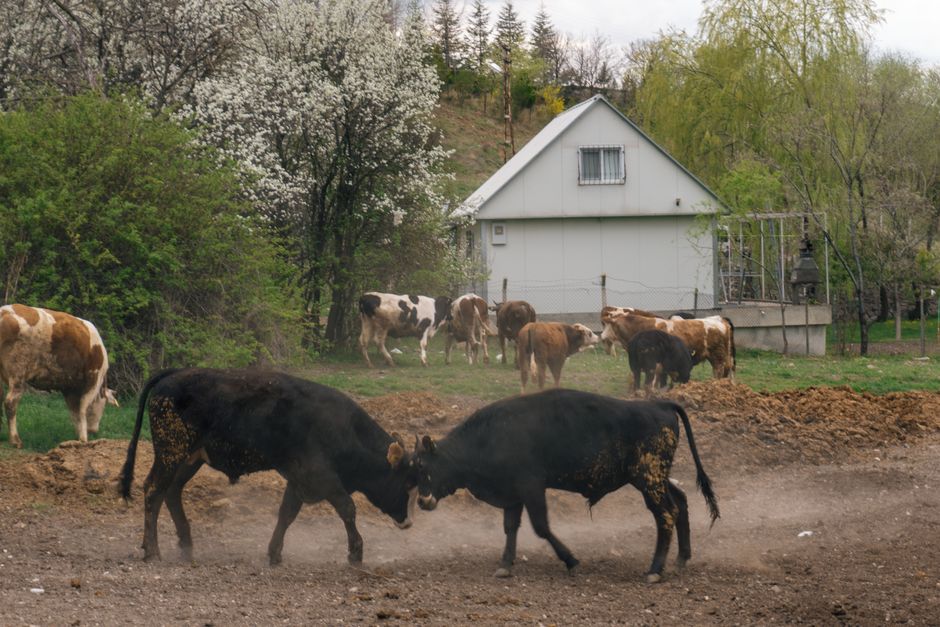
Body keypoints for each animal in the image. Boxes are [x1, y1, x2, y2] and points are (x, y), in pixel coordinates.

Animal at [0, 304, 118, 448]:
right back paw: (15, 440)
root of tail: (5, 311)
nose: (94, 430)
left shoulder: (70, 388)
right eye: (104, 404)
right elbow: (83, 409)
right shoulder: (92, 380)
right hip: (18, 372)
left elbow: (75, 413)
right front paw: (84, 440)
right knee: (10, 402)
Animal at [119, 368, 417, 565]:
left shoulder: (298, 480)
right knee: (153, 491)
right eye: (406, 482)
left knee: (171, 492)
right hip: (171, 454)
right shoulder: (322, 478)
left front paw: (275, 552)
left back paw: (186, 545)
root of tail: (174, 374)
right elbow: (348, 508)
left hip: (189, 459)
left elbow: (286, 514)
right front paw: (356, 552)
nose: (408, 522)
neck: (342, 427)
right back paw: (152, 550)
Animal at [414, 389, 720, 583]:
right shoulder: (513, 495)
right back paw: (681, 559)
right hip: (655, 479)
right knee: (681, 502)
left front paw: (570, 560)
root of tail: (659, 405)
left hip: (649, 480)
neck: (489, 436)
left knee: (666, 515)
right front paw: (505, 565)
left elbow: (541, 527)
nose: (421, 501)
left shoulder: (531, 487)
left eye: (423, 467)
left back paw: (655, 570)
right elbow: (510, 527)